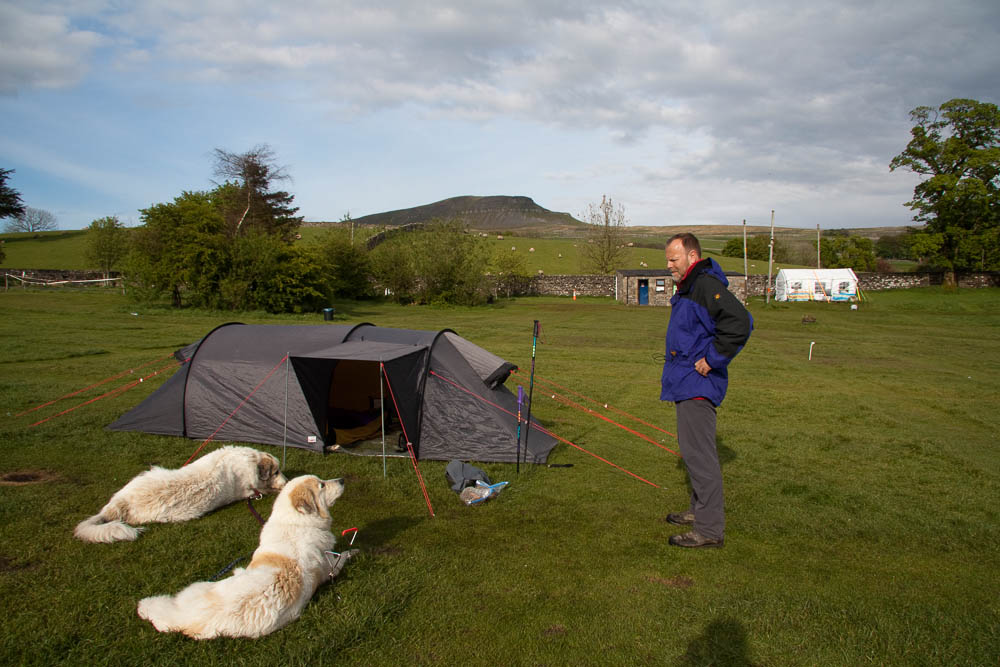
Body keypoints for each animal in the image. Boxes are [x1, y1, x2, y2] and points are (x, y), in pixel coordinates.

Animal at [137, 474, 348, 640]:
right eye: (321, 485)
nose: (342, 480)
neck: (296, 523)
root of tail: (184, 621)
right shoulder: (329, 567)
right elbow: (344, 556)